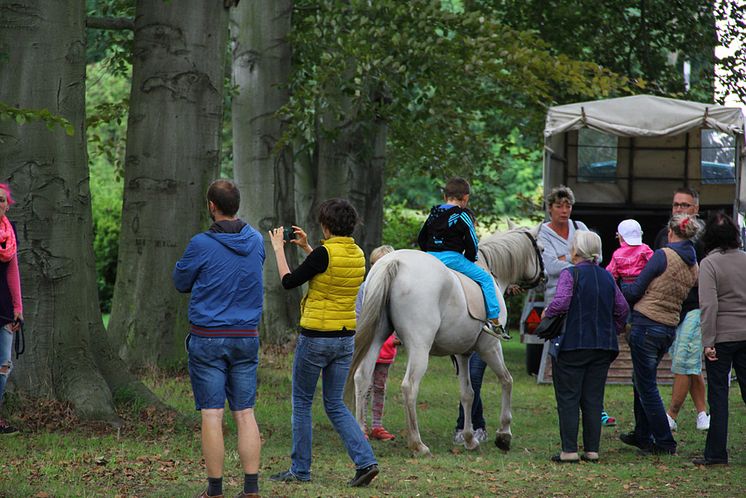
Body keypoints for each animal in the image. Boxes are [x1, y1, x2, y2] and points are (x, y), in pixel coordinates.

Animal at [342, 226, 540, 456]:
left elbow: (467, 394)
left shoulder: (463, 353)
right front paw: (504, 435)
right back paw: (418, 444)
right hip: (420, 347)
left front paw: (469, 439)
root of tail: (396, 262)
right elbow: (506, 381)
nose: (544, 277)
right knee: (409, 386)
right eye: (541, 249)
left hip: (377, 338)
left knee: (362, 377)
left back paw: (361, 433)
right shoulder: (489, 347)